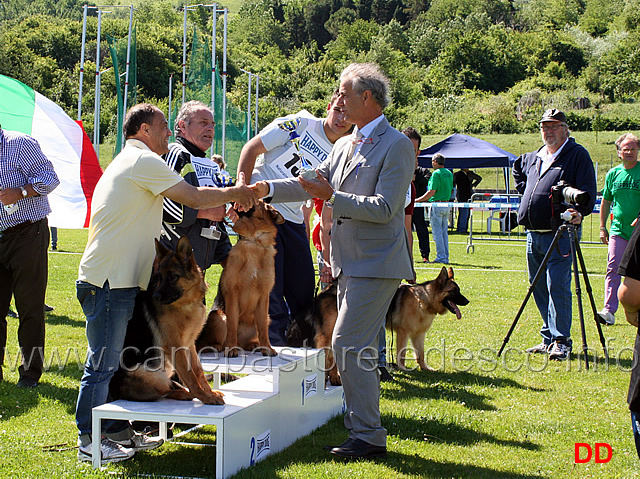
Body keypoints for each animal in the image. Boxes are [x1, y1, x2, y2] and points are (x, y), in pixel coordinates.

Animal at [111, 236, 226, 404]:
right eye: (159, 277)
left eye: (172, 277)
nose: (155, 297)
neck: (185, 304)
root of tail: (115, 392)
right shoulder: (176, 347)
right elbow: (190, 377)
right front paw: (205, 397)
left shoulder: (190, 345)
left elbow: (198, 371)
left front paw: (209, 392)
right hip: (153, 374)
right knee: (164, 391)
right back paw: (184, 393)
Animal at [196, 201, 284, 358]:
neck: (253, 240)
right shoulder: (233, 295)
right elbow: (232, 326)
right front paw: (231, 349)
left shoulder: (264, 297)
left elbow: (263, 329)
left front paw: (267, 348)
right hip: (218, 317)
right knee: (217, 339)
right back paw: (218, 347)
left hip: (266, 318)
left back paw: (253, 345)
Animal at [288, 268, 468, 384]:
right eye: (454, 292)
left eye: (459, 290)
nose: (467, 301)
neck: (424, 299)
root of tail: (325, 293)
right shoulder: (403, 333)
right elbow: (402, 354)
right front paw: (402, 368)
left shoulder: (418, 334)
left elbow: (421, 354)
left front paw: (425, 368)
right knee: (328, 356)